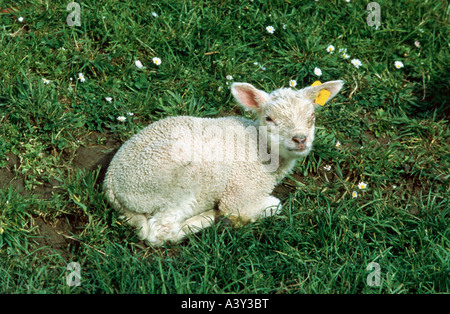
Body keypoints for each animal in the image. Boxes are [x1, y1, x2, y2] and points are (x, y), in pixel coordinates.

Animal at [103, 79, 342, 247]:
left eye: (311, 118)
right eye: (269, 118)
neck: (259, 147)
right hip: (172, 185)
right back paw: (207, 219)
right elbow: (267, 206)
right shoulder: (240, 191)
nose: (300, 139)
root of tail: (111, 183)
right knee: (160, 233)